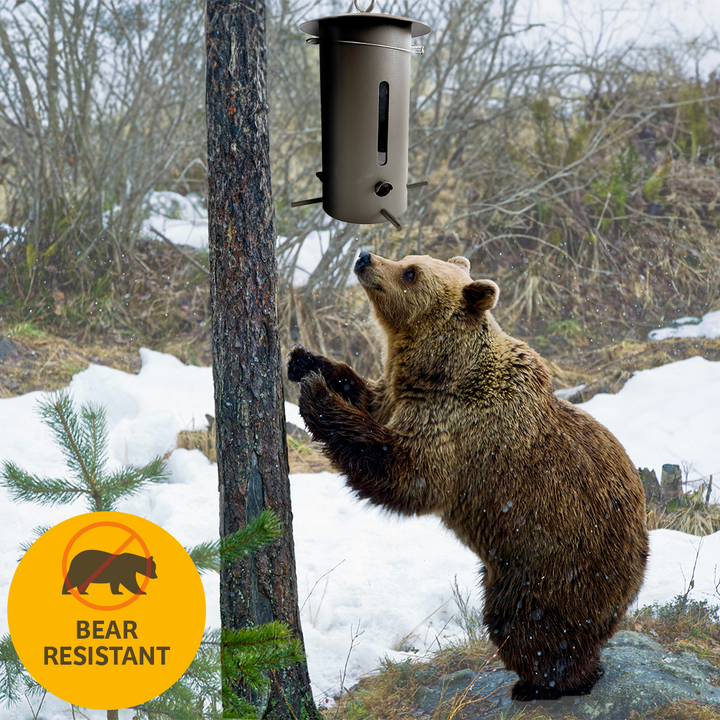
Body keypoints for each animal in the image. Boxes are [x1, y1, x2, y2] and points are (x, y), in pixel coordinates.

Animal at [287, 250, 648, 701]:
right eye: (406, 258)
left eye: (411, 272)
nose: (365, 257)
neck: (440, 372)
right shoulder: (400, 396)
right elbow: (370, 396)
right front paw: (305, 362)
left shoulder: (457, 428)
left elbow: (406, 475)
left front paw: (317, 395)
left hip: (553, 562)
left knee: (530, 624)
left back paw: (545, 683)